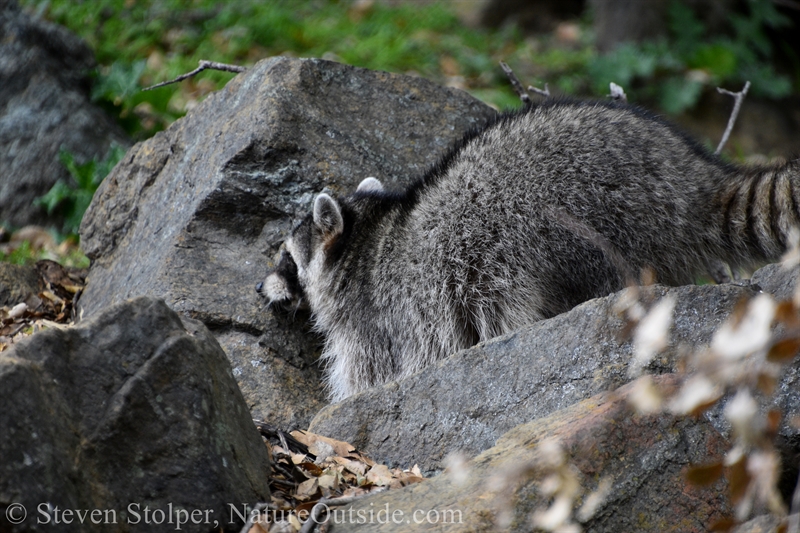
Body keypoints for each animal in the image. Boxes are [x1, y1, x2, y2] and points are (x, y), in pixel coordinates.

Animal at [261, 99, 800, 402]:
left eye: (286, 258)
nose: (259, 287)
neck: (366, 234)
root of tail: (691, 178)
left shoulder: (379, 318)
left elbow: (369, 375)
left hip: (574, 227)